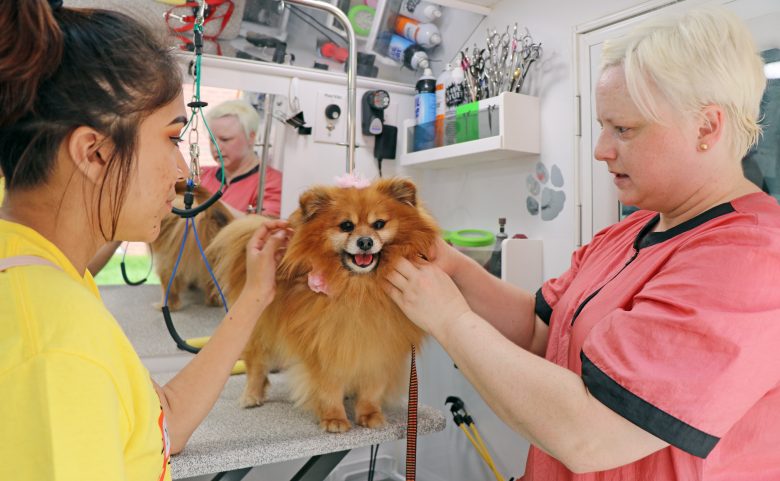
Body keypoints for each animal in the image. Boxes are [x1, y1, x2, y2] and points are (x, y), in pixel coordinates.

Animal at [207, 176, 438, 432]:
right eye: (346, 226)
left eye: (379, 224)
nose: (365, 241)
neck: (359, 289)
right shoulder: (323, 345)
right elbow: (328, 387)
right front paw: (334, 418)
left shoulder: (379, 349)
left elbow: (372, 388)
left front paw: (370, 414)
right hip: (259, 329)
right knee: (257, 365)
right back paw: (251, 396)